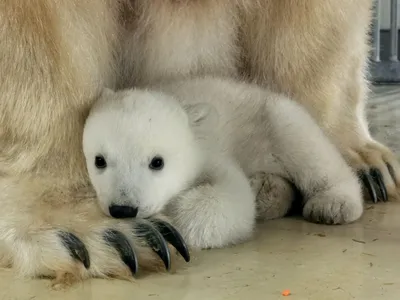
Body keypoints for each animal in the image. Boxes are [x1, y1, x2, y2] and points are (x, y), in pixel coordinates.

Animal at [0, 0, 396, 284]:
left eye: (157, 162)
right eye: (99, 160)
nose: (124, 209)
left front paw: (366, 161)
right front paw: (101, 234)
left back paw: (337, 192)